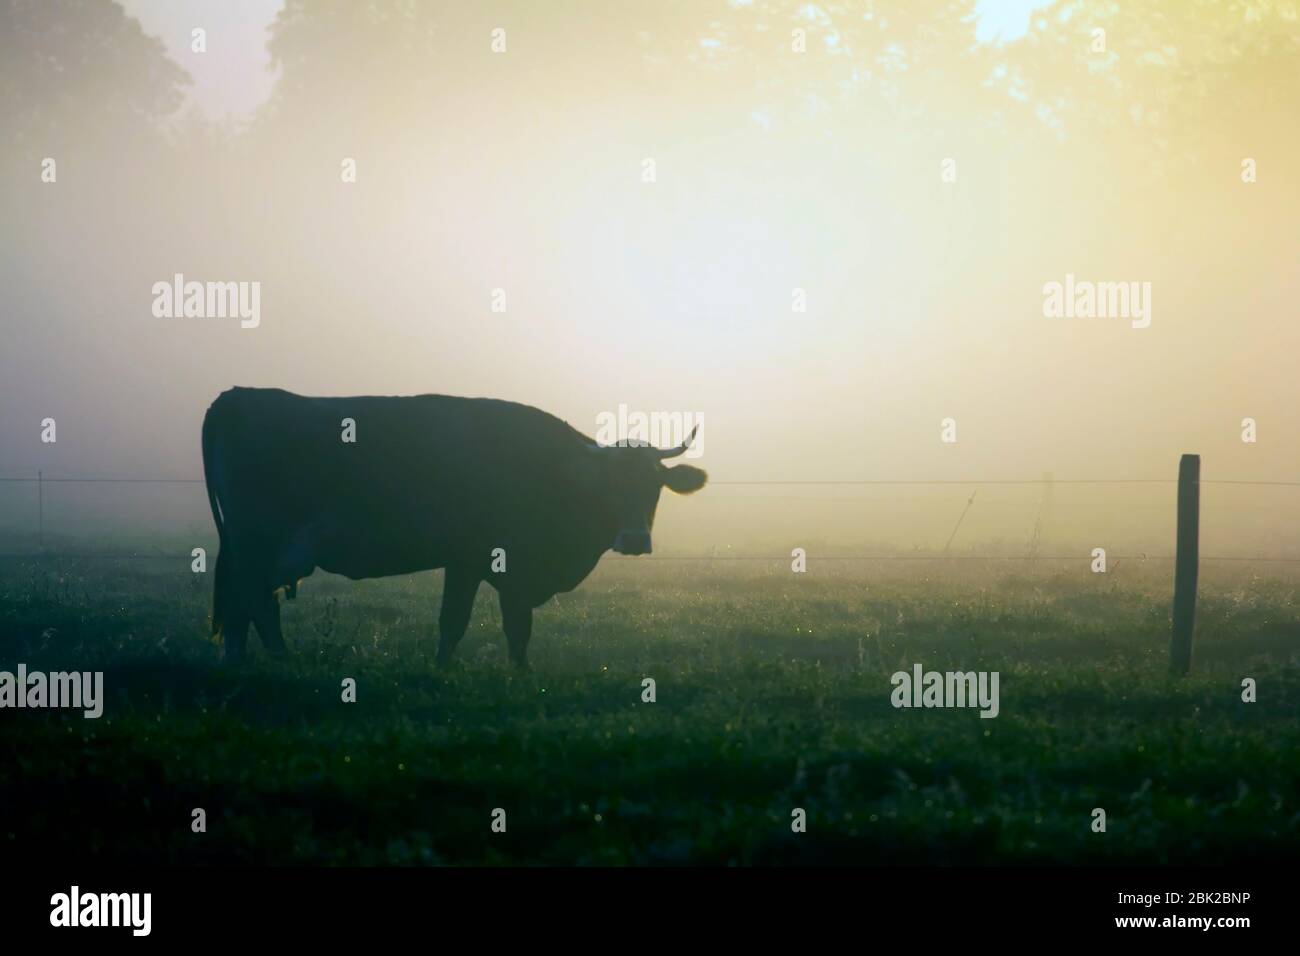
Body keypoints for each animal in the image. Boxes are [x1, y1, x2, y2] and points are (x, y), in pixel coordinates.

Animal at [201, 387, 708, 666]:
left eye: (655, 486)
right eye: (608, 484)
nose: (635, 539)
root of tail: (235, 396)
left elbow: (515, 628)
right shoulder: (472, 560)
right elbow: (460, 621)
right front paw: (446, 669)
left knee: (246, 606)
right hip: (259, 542)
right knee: (255, 603)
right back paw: (280, 660)